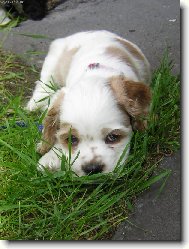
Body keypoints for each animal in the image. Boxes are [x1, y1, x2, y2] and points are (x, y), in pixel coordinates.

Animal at [25, 30, 151, 176]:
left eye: (113, 137)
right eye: (72, 139)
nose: (92, 168)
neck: (95, 73)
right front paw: (50, 158)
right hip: (53, 59)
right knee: (45, 80)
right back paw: (35, 103)